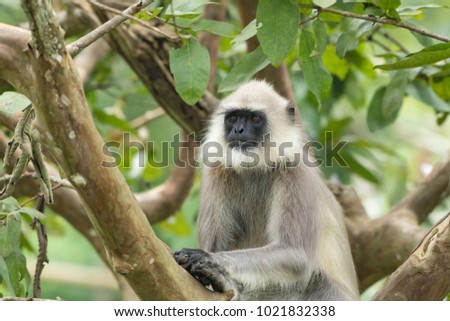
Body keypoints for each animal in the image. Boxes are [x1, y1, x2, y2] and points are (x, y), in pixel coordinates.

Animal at [172, 80, 358, 300]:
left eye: (254, 118)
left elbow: (297, 256)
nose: (239, 129)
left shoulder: (295, 171)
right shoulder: (217, 170)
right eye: (233, 117)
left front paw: (208, 259)